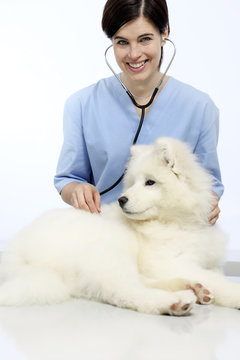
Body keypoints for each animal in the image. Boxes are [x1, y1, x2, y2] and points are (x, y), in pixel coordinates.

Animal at [0, 138, 240, 316]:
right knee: (127, 291)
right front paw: (235, 294)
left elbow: (215, 276)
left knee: (138, 282)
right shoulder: (167, 262)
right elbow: (220, 281)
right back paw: (176, 301)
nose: (121, 200)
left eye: (150, 182)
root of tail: (18, 252)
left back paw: (192, 287)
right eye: (132, 183)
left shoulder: (206, 262)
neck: (175, 222)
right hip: (110, 249)